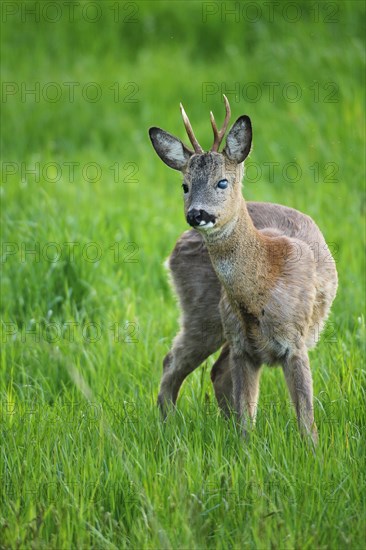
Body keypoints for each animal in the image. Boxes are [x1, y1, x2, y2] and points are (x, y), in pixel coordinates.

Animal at [149, 97, 338, 446]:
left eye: (222, 181)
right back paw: (167, 430)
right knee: (175, 363)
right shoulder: (241, 346)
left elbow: (306, 420)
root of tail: (174, 252)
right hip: (204, 316)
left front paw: (312, 454)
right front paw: (246, 452)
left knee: (211, 371)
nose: (197, 214)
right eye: (184, 185)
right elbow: (246, 419)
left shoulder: (295, 342)